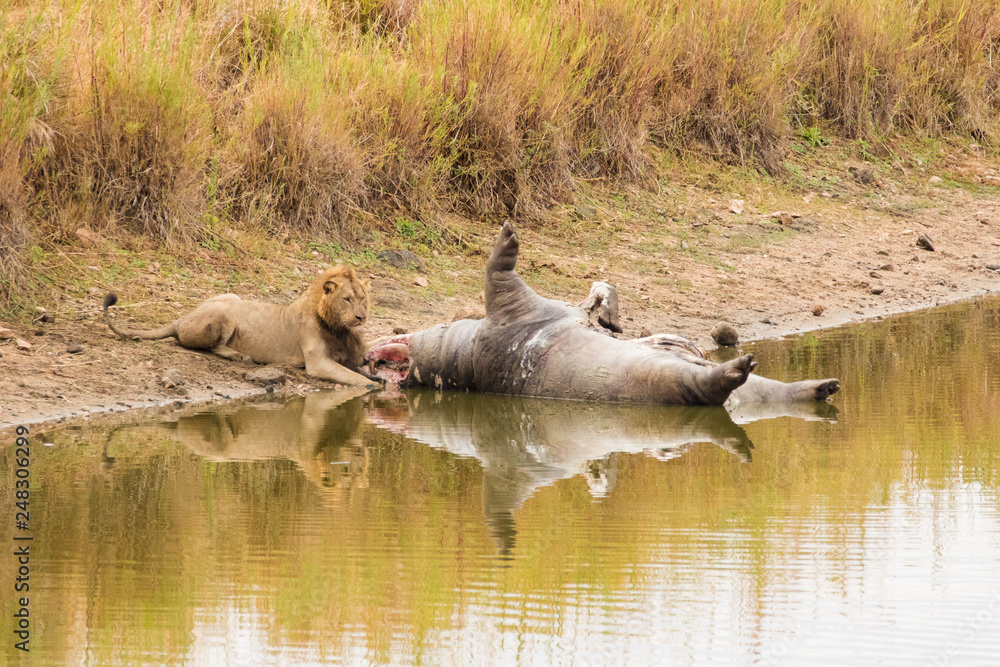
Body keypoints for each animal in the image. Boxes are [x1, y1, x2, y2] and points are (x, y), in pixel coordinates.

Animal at [103, 266, 381, 388]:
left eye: (362, 299)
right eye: (347, 299)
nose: (361, 318)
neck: (340, 328)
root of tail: (180, 319)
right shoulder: (317, 363)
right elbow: (357, 379)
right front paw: (374, 385)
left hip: (230, 297)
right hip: (225, 313)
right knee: (213, 348)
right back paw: (239, 356)